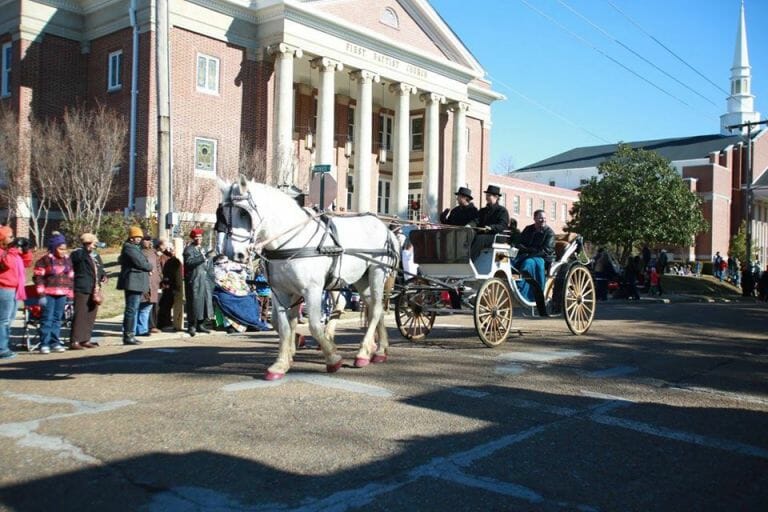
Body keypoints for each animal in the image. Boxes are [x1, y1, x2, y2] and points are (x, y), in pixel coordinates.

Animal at [219, 176, 402, 380]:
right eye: (223, 215)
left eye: (244, 214)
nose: (234, 254)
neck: (290, 240)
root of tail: (385, 228)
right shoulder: (281, 291)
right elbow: (283, 324)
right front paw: (281, 363)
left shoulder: (312, 289)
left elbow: (314, 325)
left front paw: (333, 358)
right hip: (360, 279)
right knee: (371, 308)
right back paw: (379, 350)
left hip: (377, 271)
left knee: (376, 310)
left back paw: (363, 353)